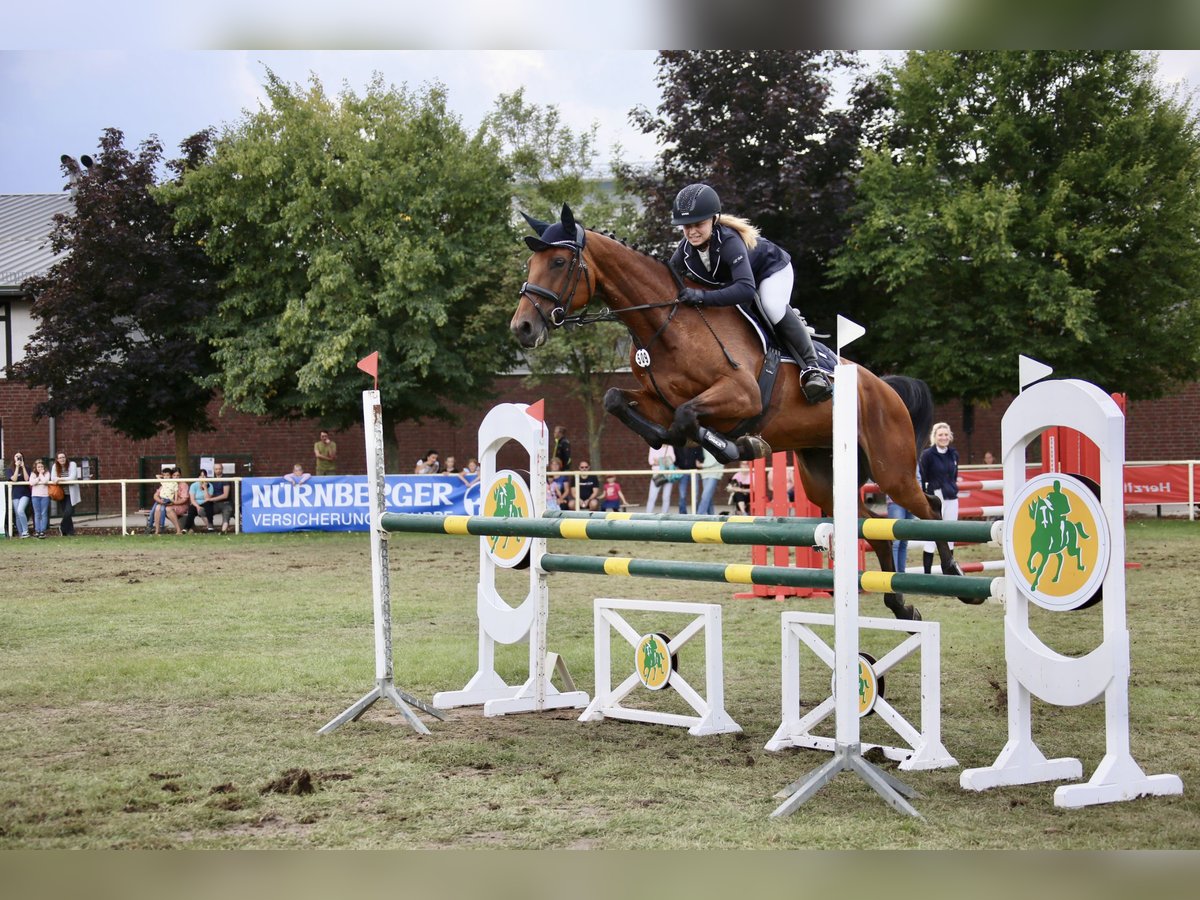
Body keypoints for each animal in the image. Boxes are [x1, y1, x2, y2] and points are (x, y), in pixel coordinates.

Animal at [513, 207, 964, 624]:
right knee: (874, 526)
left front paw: (737, 445)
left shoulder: (742, 396)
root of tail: (884, 387)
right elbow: (617, 400)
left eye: (559, 262)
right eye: (531, 263)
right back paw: (901, 606)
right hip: (824, 477)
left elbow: (687, 417)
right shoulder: (656, 398)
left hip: (892, 468)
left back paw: (957, 577)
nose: (522, 328)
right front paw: (676, 440)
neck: (668, 322)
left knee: (928, 508)